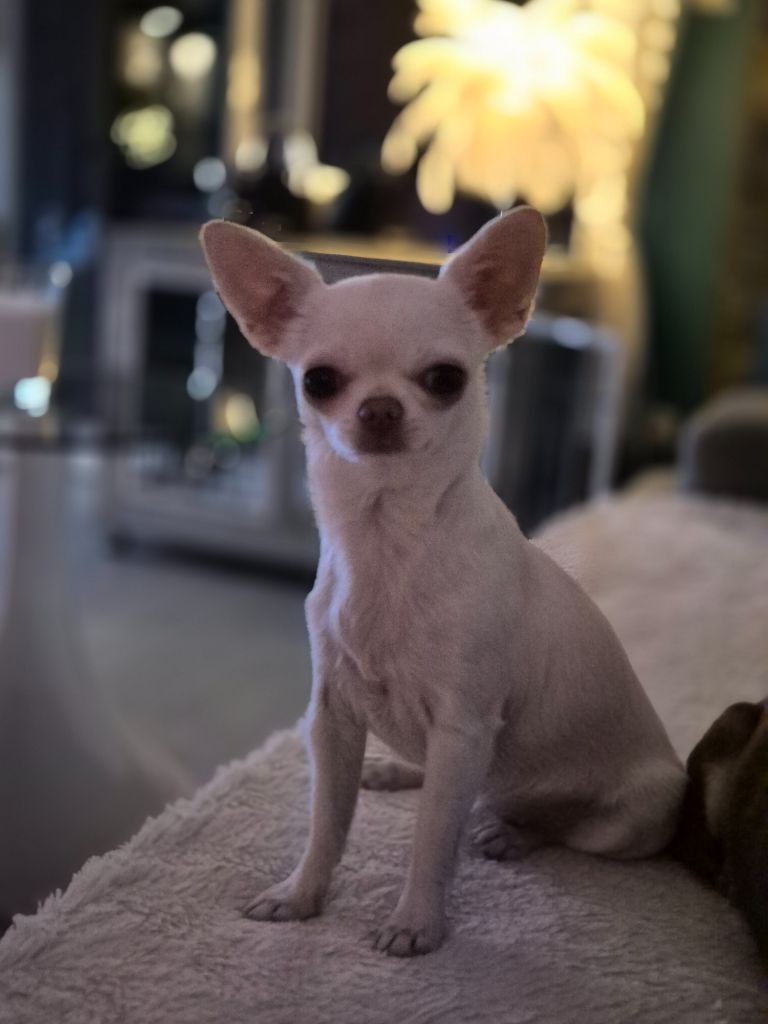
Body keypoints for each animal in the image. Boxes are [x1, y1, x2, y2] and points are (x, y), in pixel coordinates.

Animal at [200, 208, 686, 957]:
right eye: (319, 381)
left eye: (445, 378)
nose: (378, 408)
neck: (387, 541)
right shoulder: (333, 719)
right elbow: (326, 823)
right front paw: (303, 894)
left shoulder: (463, 724)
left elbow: (433, 841)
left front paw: (415, 924)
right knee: (450, 785)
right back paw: (403, 771)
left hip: (631, 817)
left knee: (549, 825)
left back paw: (510, 831)